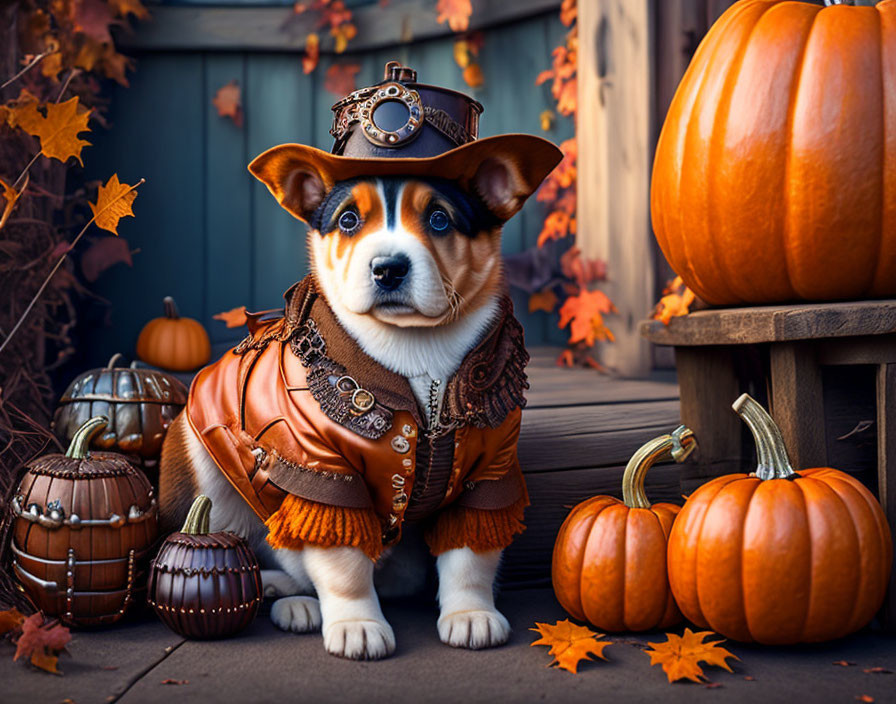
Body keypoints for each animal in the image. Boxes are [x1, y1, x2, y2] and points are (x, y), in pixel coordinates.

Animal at [158, 138, 556, 660]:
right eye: (348, 220)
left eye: (440, 219)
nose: (388, 269)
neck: (414, 344)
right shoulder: (323, 473)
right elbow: (343, 563)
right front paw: (356, 625)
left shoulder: (487, 472)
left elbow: (470, 556)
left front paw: (471, 614)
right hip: (200, 458)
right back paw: (291, 600)